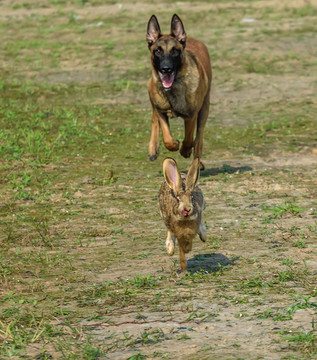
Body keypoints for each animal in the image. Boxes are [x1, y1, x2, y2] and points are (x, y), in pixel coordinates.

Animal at [145, 14, 210, 169]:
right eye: (158, 51)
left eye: (175, 51)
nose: (166, 69)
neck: (172, 91)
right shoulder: (161, 111)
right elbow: (167, 137)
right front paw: (174, 144)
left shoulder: (191, 115)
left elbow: (189, 139)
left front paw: (185, 151)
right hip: (151, 91)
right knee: (154, 118)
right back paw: (153, 148)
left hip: (204, 110)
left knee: (199, 138)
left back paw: (197, 162)